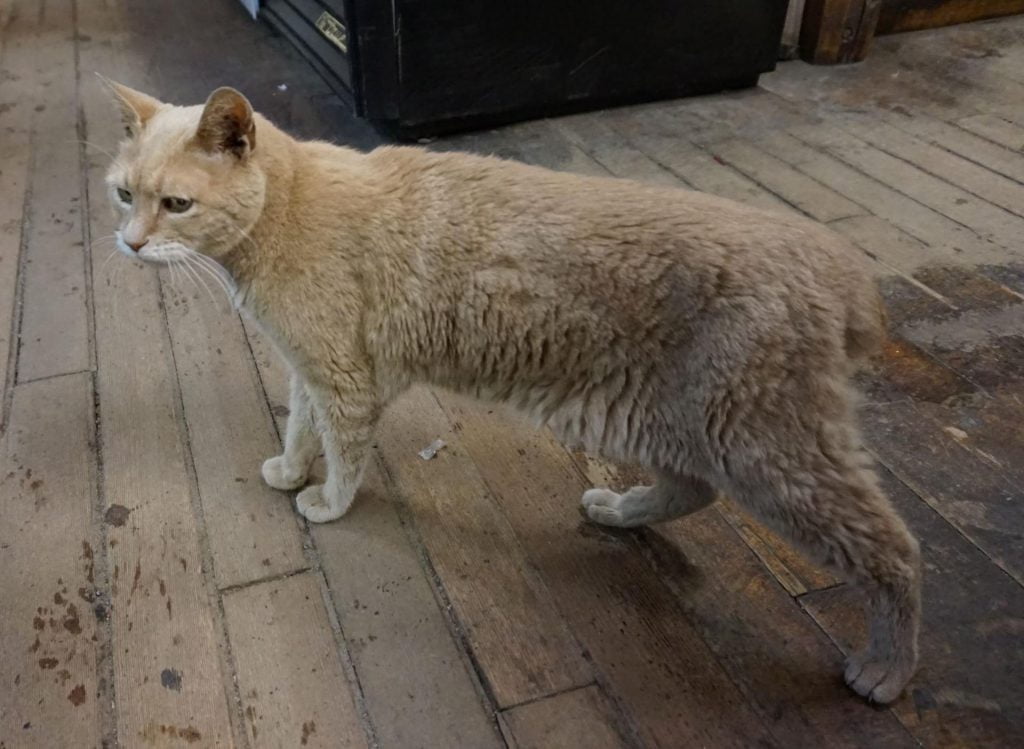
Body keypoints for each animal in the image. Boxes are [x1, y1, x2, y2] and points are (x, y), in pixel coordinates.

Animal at [103, 83, 921, 709]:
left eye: (176, 204)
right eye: (122, 194)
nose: (130, 244)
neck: (285, 209)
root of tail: (839, 263)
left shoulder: (343, 376)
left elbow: (342, 450)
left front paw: (326, 501)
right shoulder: (309, 367)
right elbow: (301, 426)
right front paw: (288, 469)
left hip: (768, 447)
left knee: (894, 550)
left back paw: (887, 667)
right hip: (666, 420)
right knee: (692, 489)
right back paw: (618, 510)